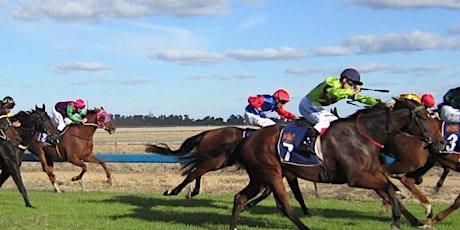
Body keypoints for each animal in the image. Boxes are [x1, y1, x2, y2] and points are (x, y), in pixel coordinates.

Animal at [187, 99, 446, 230]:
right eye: (425, 118)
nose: (441, 142)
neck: (363, 134)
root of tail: (246, 139)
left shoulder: (373, 172)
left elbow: (391, 191)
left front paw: (416, 220)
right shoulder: (357, 177)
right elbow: (391, 190)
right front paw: (397, 221)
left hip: (259, 176)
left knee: (240, 198)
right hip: (270, 172)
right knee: (284, 206)